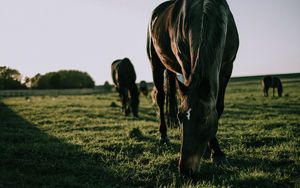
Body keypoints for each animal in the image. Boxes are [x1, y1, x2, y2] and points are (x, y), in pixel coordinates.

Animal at [147, 0, 239, 176]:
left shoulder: (227, 67)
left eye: (204, 119)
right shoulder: (186, 63)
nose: (185, 170)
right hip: (156, 64)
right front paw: (215, 152)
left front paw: (215, 152)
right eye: (180, 117)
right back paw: (163, 135)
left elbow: (218, 107)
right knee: (161, 97)